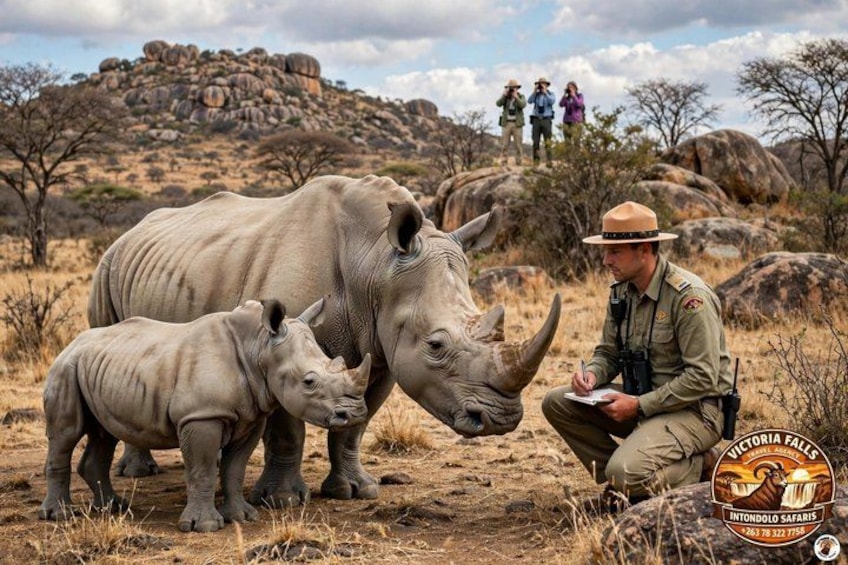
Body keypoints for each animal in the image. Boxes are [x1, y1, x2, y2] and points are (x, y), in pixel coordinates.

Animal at [38, 299, 370, 533]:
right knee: (66, 434)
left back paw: (114, 509)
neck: (259, 347)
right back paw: (60, 516)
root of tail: (71, 343)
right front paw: (204, 526)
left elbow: (234, 469)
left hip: (99, 367)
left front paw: (242, 516)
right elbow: (203, 468)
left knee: (104, 433)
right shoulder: (201, 416)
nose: (355, 414)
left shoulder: (251, 417)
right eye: (309, 382)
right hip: (65, 368)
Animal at [88, 174, 561, 505]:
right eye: (435, 346)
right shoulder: (280, 348)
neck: (375, 263)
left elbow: (356, 424)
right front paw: (281, 500)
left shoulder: (382, 354)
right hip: (106, 267)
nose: (501, 419)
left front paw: (355, 491)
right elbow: (287, 429)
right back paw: (139, 474)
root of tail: (128, 233)